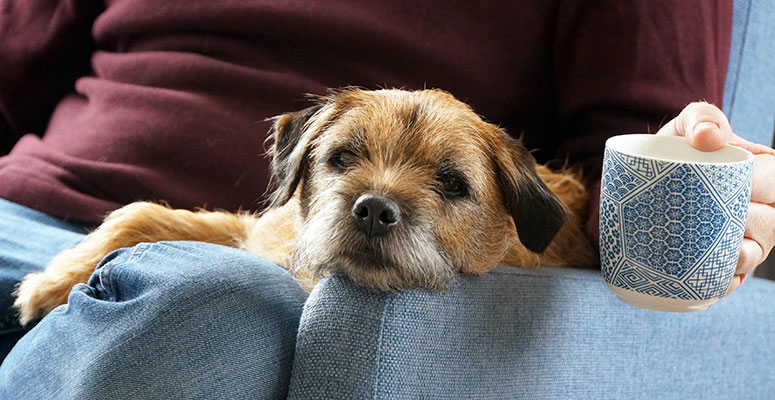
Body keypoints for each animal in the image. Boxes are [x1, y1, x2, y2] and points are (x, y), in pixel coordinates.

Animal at [12, 87, 596, 324]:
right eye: (343, 156)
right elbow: (138, 213)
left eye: (453, 184)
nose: (374, 209)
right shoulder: (255, 231)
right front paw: (53, 282)